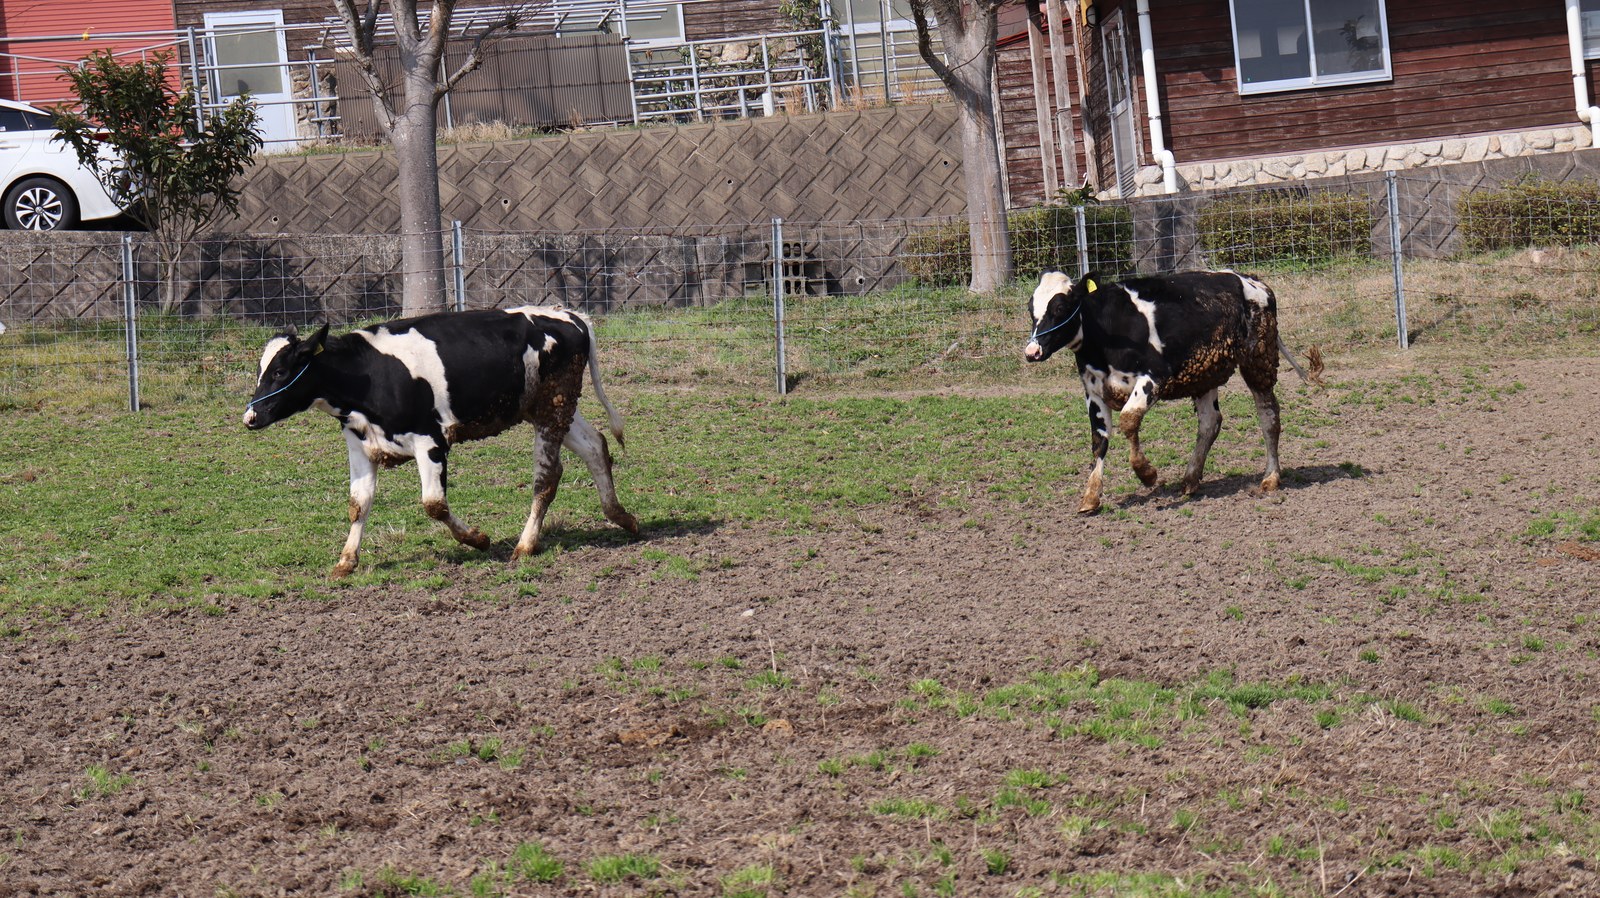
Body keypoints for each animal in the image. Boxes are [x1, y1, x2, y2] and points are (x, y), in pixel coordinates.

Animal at [243, 305, 639, 578]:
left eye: (281, 371)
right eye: (261, 370)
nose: (251, 417)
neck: (367, 374)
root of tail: (568, 315)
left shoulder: (430, 441)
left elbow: (433, 504)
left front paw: (478, 539)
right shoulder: (360, 445)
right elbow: (358, 504)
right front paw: (346, 560)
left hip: (552, 410)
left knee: (547, 476)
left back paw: (526, 546)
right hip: (552, 409)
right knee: (595, 445)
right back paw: (621, 516)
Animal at [1023, 269, 1308, 515]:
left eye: (1060, 308)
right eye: (1031, 309)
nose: (1032, 351)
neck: (1105, 333)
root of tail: (1252, 280)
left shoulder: (1155, 376)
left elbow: (1129, 419)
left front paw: (1146, 473)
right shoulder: (1093, 391)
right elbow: (1099, 440)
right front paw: (1091, 496)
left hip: (1258, 360)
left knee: (1268, 416)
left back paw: (1271, 477)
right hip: (1204, 373)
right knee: (1210, 423)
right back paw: (1191, 479)